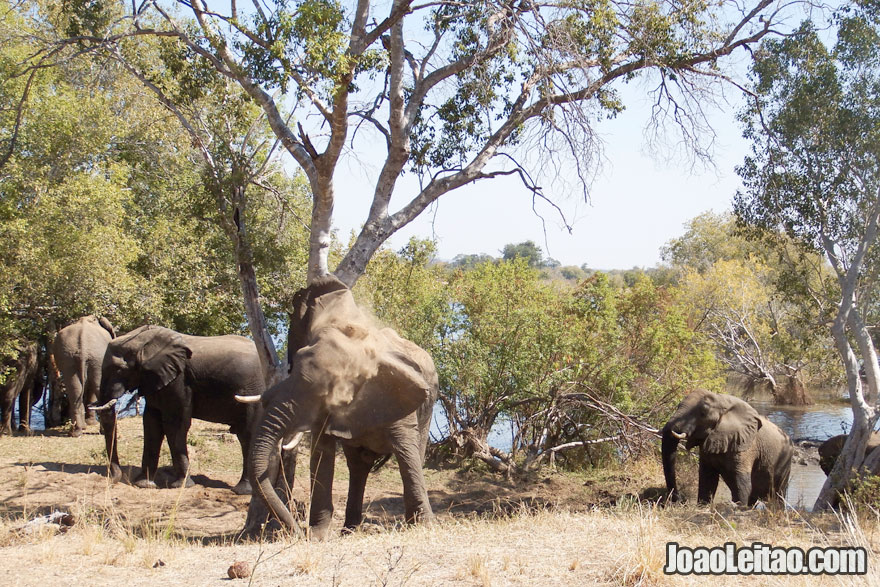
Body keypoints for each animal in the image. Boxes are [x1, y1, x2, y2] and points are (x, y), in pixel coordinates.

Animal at [94, 326, 264, 496]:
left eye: (119, 370)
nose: (113, 479)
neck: (144, 341)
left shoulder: (179, 380)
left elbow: (174, 425)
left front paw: (180, 486)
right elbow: (151, 424)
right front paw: (143, 484)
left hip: (253, 393)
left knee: (247, 434)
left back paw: (243, 491)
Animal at [239, 276, 438, 544]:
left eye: (330, 388)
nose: (294, 531)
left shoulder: (398, 394)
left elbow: (407, 451)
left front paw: (423, 527)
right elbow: (321, 453)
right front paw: (317, 536)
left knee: (411, 451)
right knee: (358, 465)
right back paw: (349, 530)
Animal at [660, 390, 796, 506]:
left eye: (703, 413)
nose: (680, 500)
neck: (721, 400)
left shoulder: (745, 445)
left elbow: (742, 484)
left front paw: (737, 508)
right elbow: (707, 479)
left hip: (784, 466)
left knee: (778, 498)